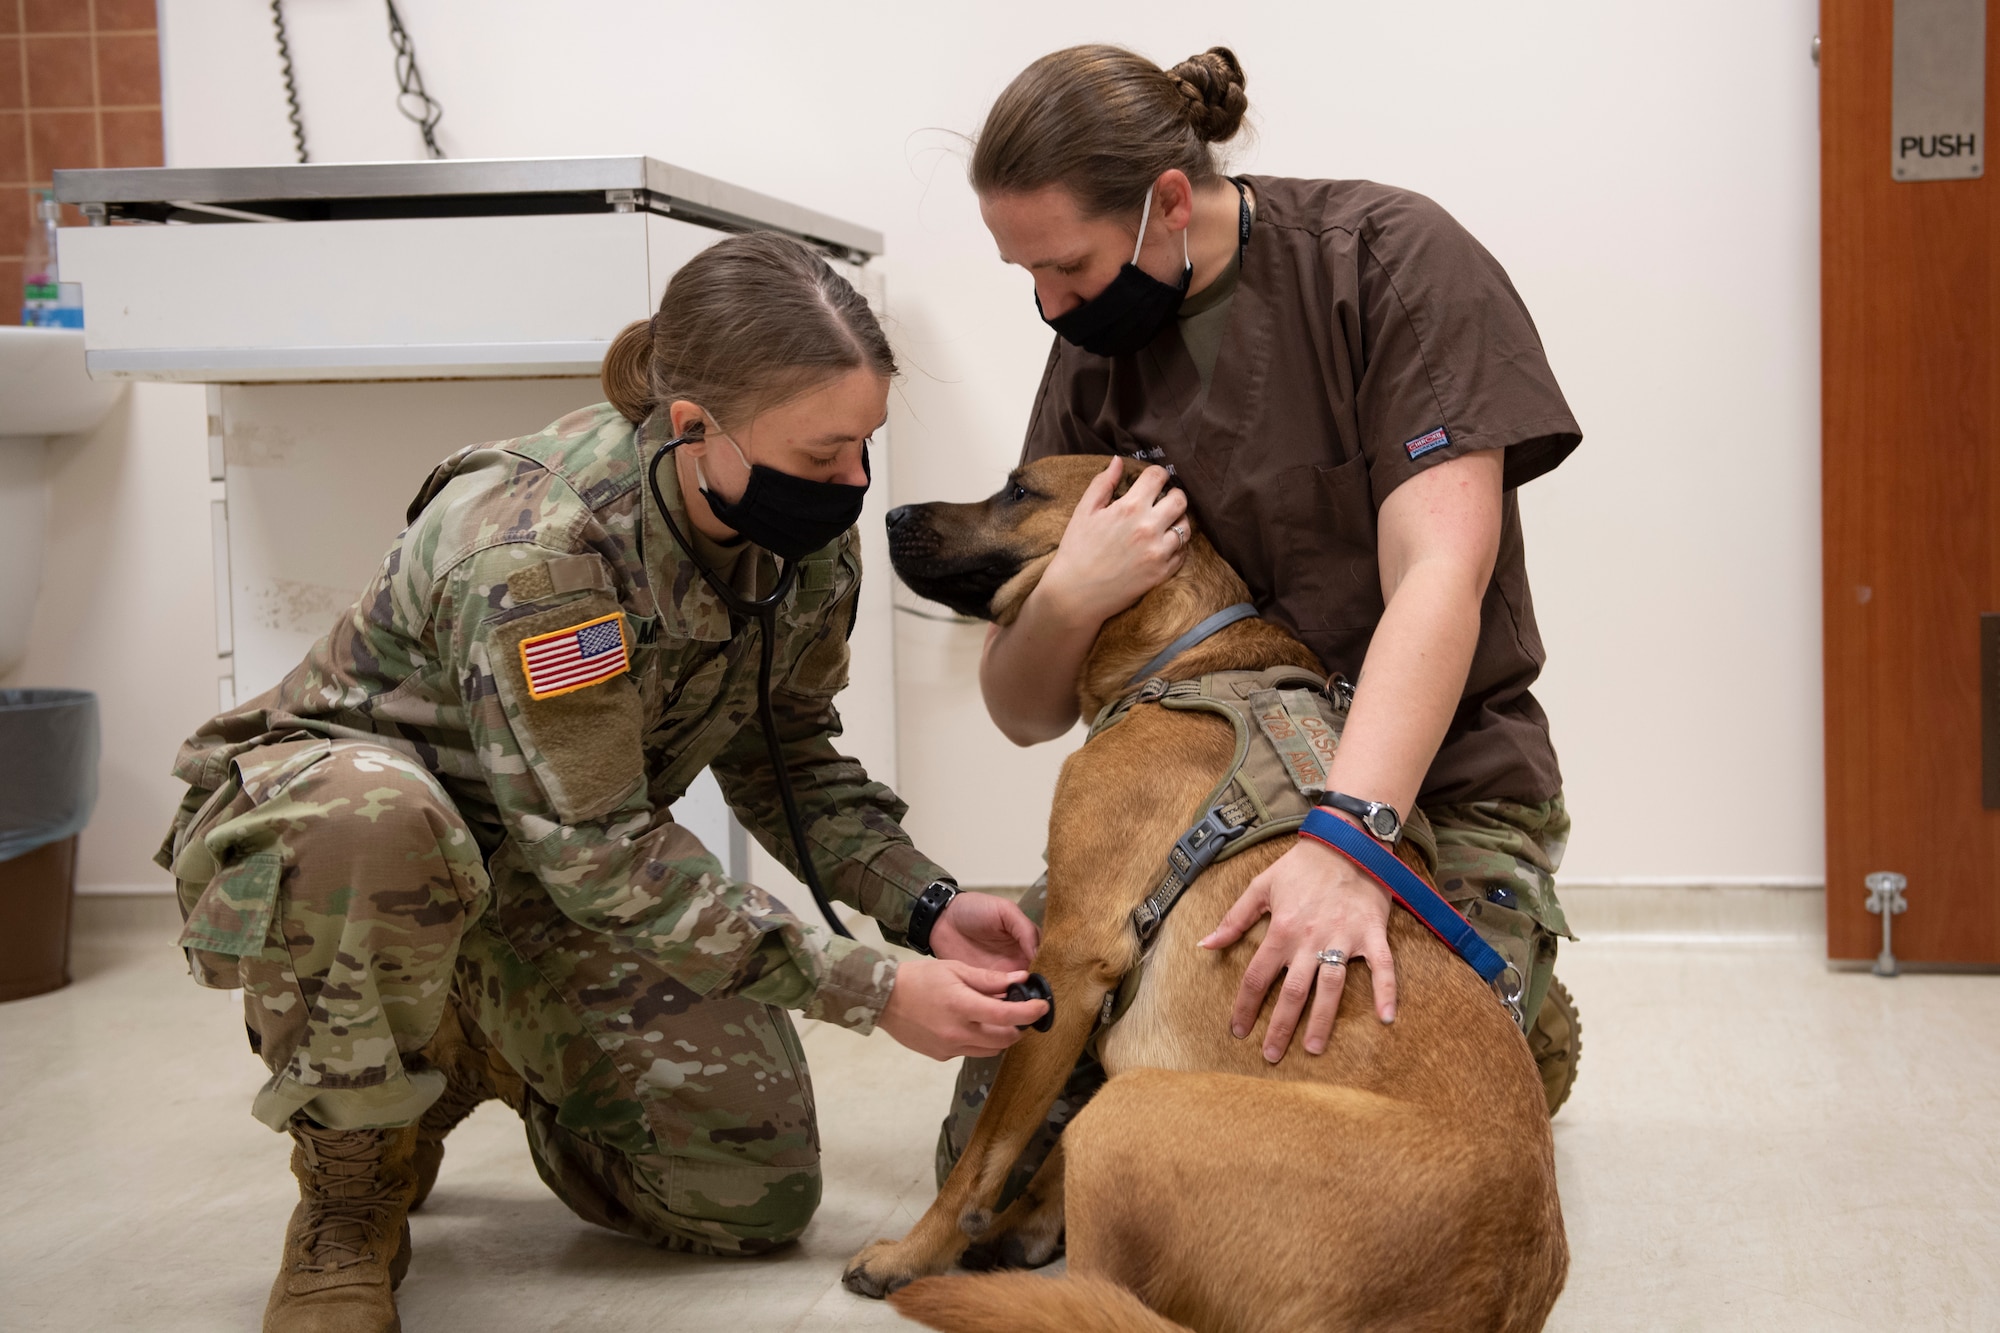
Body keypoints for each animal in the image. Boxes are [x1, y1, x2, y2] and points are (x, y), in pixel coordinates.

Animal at [852, 452, 1568, 1320]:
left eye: (1019, 491)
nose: (888, 515)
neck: (1186, 659)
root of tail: (1494, 1281)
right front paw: (1024, 1223)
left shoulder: (1067, 965)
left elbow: (982, 1157)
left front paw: (912, 1253)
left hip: (1131, 1111)